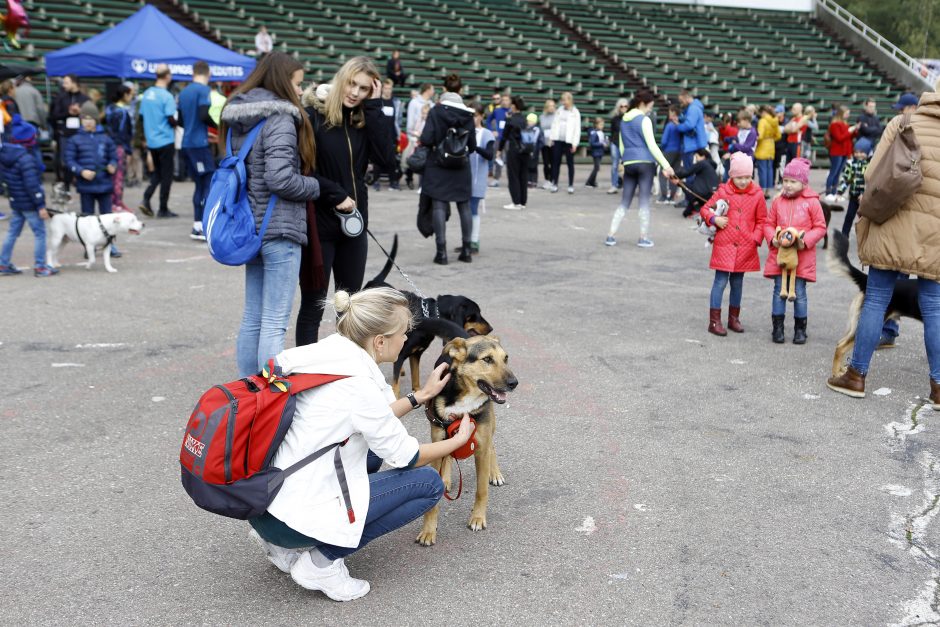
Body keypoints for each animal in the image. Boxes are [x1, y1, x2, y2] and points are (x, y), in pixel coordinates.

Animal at [362, 236, 492, 398]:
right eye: (475, 315)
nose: (491, 328)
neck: (428, 313)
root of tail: (373, 282)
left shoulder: (416, 354)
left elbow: (415, 376)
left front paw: (419, 393)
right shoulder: (403, 353)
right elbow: (396, 383)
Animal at [416, 336, 516, 548]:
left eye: (506, 358)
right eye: (487, 359)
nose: (514, 383)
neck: (466, 400)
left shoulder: (481, 447)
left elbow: (481, 490)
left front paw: (477, 518)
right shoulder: (437, 441)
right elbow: (434, 501)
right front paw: (428, 530)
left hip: (489, 425)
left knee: (492, 446)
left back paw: (495, 473)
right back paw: (446, 479)